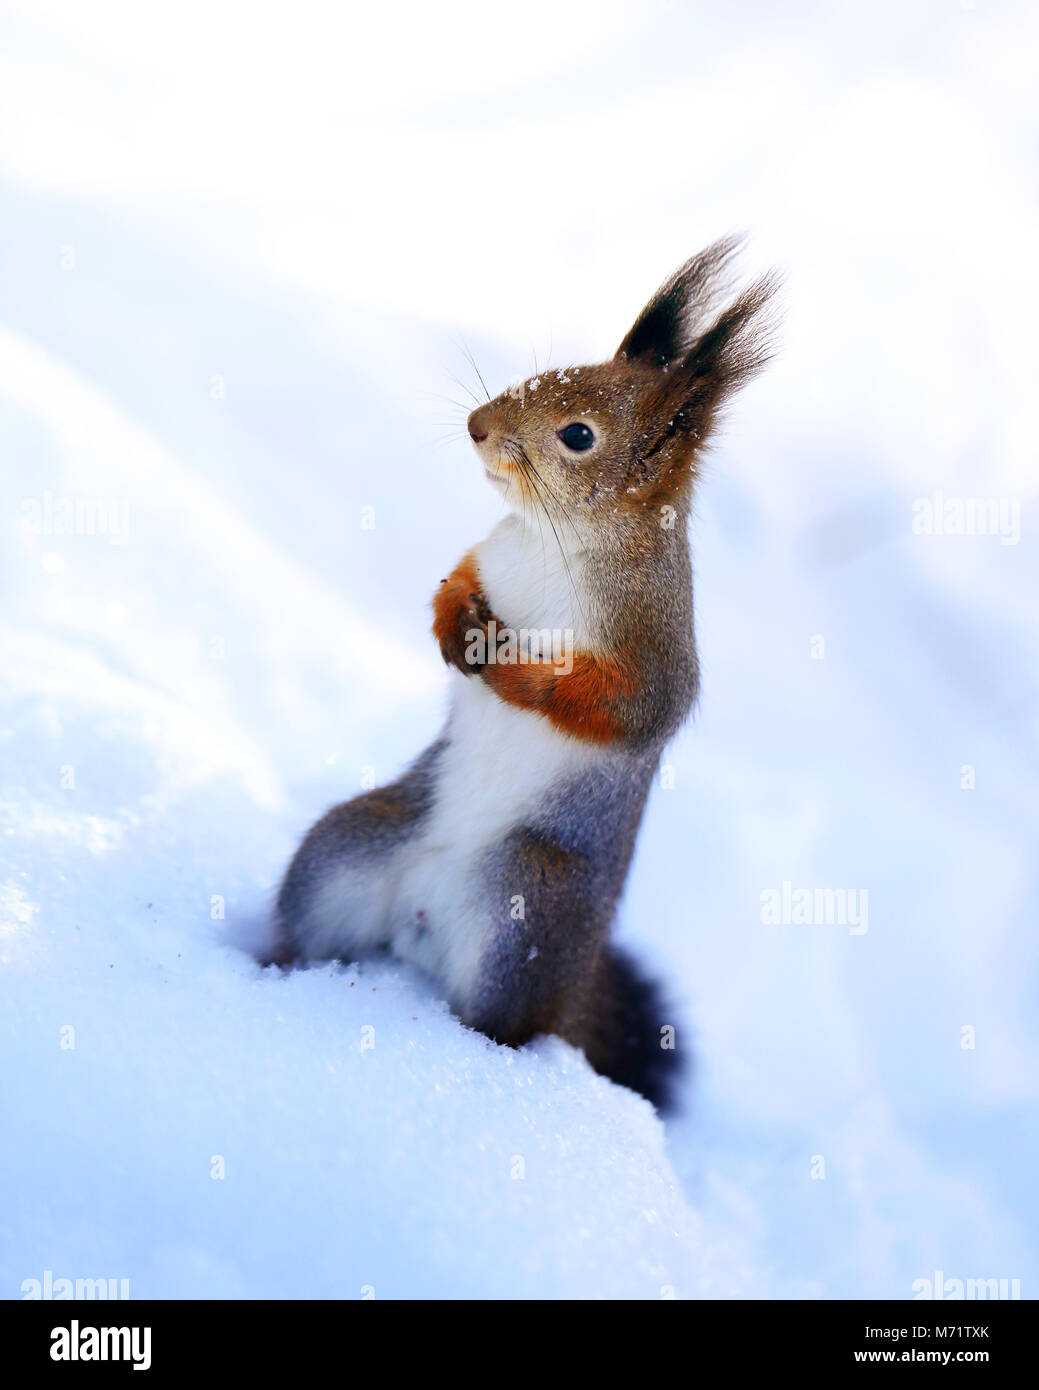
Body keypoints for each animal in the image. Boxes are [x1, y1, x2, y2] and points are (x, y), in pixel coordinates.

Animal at [269, 237, 777, 1110]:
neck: (555, 540)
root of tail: (418, 923)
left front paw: (510, 674)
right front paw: (453, 627)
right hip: (346, 850)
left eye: (577, 434)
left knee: (498, 1025)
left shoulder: (652, 648)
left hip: (527, 910)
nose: (477, 426)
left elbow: (618, 706)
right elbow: (456, 582)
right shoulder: (491, 553)